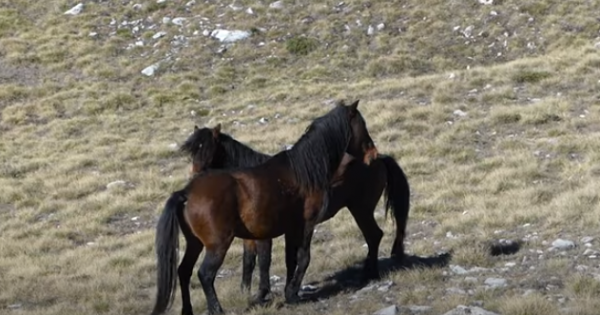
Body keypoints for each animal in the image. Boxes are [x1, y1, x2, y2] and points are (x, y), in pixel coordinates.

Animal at [150, 102, 378, 315]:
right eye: (362, 124)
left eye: (206, 150)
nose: (372, 154)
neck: (304, 170)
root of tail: (187, 192)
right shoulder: (304, 225)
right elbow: (300, 259)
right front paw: (289, 294)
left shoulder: (286, 230)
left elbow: (285, 260)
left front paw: (286, 292)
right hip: (216, 245)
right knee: (204, 275)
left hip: (195, 243)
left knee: (184, 271)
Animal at [180, 122, 410, 304]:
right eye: (192, 151)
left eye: (208, 149)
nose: (195, 177)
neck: (246, 184)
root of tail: (379, 159)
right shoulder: (252, 236)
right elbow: (249, 261)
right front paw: (246, 293)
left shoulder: (265, 235)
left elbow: (264, 261)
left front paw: (262, 293)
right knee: (374, 235)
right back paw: (368, 273)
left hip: (361, 209)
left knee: (374, 235)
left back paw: (370, 274)